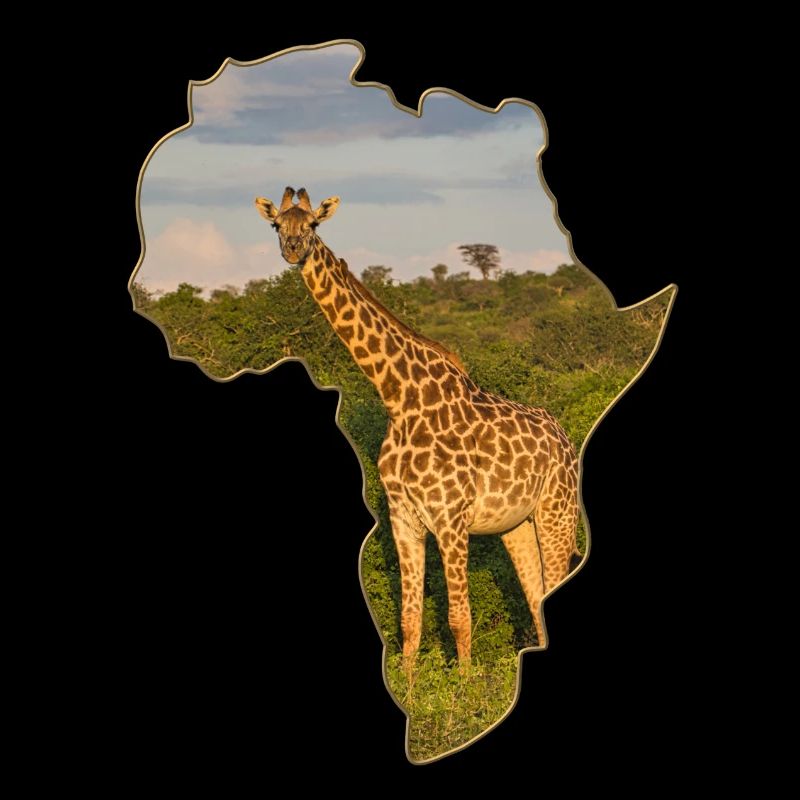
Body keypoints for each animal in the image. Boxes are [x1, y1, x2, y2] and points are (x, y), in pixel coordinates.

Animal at [255, 187, 579, 665]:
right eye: (277, 225)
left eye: (312, 224)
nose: (294, 249)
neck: (400, 400)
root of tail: (566, 439)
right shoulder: (403, 518)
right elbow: (409, 624)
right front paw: (409, 683)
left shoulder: (450, 519)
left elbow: (459, 619)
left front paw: (464, 684)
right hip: (516, 524)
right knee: (537, 597)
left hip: (558, 511)